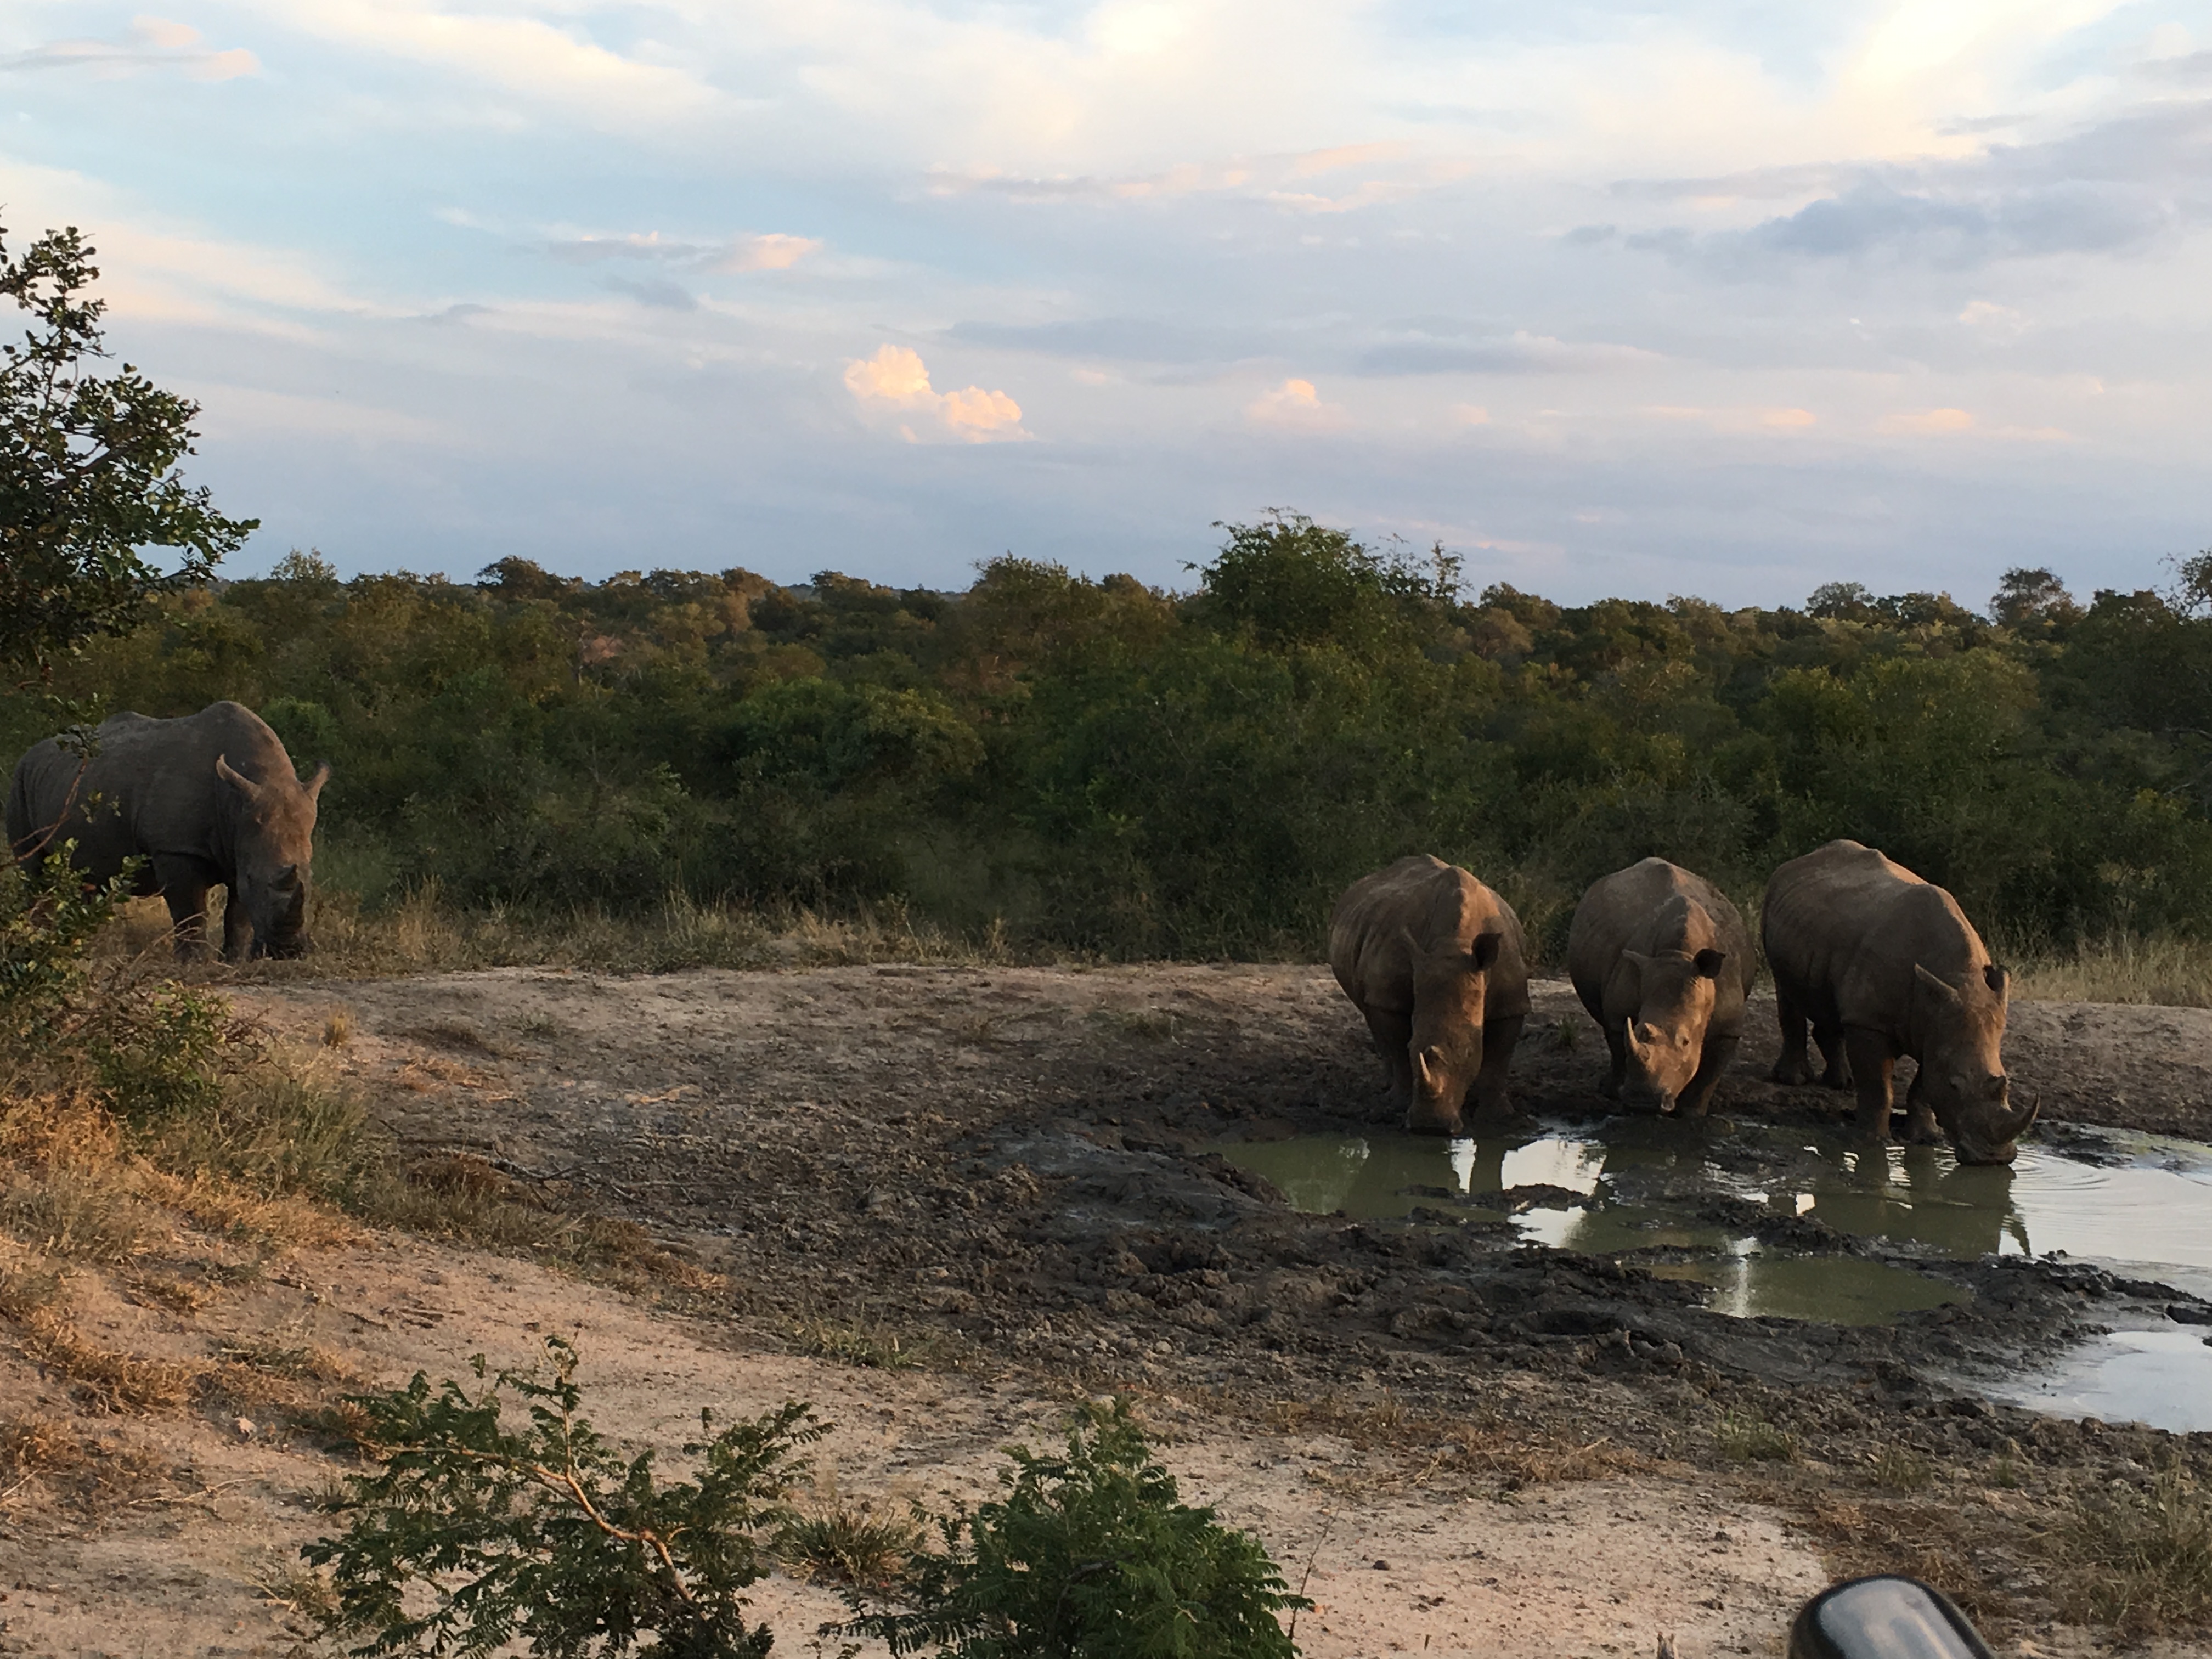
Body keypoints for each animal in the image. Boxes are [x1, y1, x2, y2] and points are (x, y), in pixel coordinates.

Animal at [7, 701, 328, 962]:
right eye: (253, 878)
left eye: (310, 876)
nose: (287, 952)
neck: (236, 804)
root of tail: (32, 751)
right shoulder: (177, 848)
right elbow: (191, 912)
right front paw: (194, 963)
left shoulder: (240, 844)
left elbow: (238, 915)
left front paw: (234, 961)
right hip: (20, 779)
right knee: (35, 871)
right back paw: (39, 944)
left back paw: (77, 947)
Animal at [1329, 854, 1530, 1134]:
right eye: (1413, 1048)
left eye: (1469, 1053)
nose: (1430, 1128)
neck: (1454, 945)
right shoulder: (1389, 995)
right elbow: (1399, 1050)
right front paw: (1399, 1105)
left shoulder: (1511, 1001)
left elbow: (1499, 1059)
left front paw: (1499, 1117)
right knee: (1371, 1013)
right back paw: (1387, 1091)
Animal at [1567, 858, 1754, 1117]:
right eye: (1639, 1030)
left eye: (1686, 1042)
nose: (1642, 1102)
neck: (1679, 955)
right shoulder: (1620, 1010)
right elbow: (1619, 1044)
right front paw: (1616, 1095)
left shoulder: (1728, 1026)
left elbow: (1710, 1073)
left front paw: (1692, 1113)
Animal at [1762, 839, 2035, 1165]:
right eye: (1955, 1085)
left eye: (2006, 1084)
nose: (1993, 1159)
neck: (1958, 978)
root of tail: (1799, 861)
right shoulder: (1871, 1022)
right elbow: (1879, 1088)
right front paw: (1873, 1142)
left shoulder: (1936, 1028)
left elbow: (1924, 1085)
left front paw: (1925, 1138)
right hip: (1774, 906)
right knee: (1786, 990)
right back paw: (1794, 1080)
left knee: (1833, 1004)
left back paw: (1842, 1083)